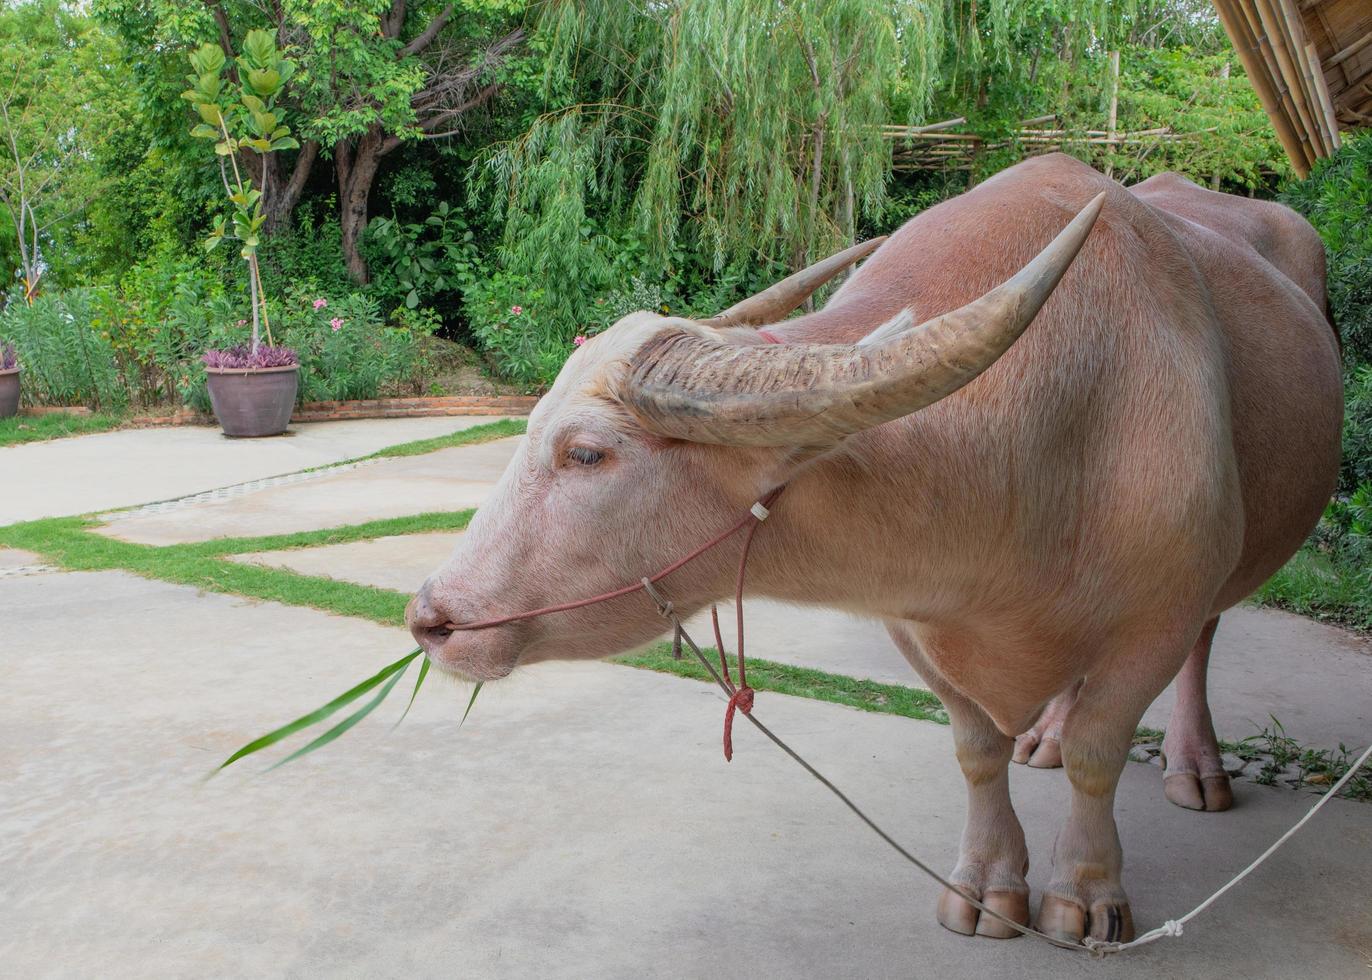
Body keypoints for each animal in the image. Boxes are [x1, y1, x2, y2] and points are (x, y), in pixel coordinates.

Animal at [406, 156, 1339, 944]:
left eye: (587, 453)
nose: (429, 619)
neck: (1043, 446)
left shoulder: (1157, 618)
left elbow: (1100, 755)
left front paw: (1084, 895)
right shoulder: (912, 622)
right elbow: (976, 747)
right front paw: (986, 886)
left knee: (1205, 643)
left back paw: (1197, 767)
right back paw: (1044, 733)